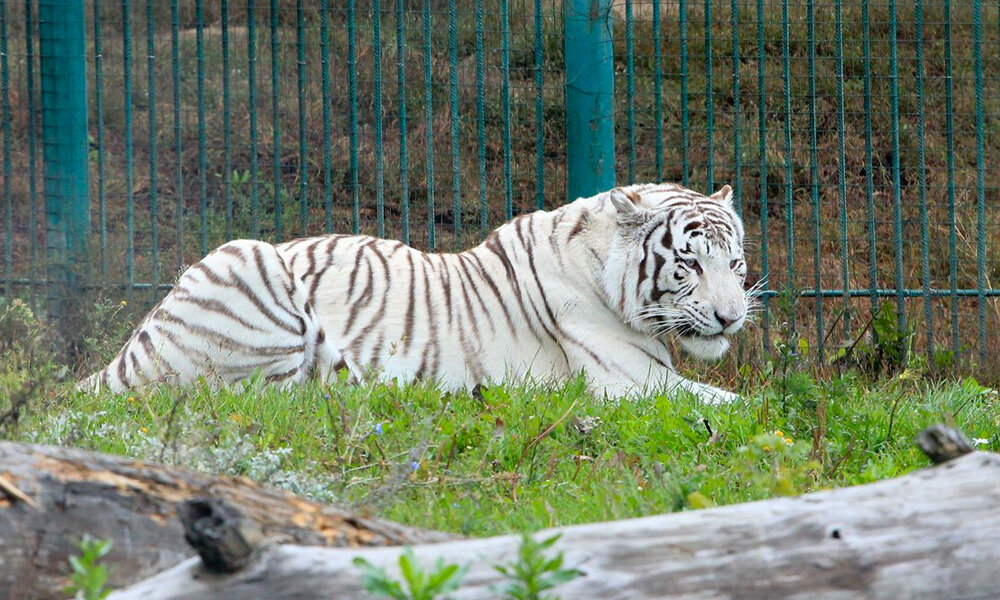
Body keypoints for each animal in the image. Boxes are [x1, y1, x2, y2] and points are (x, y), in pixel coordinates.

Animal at [80, 183, 752, 404]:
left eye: (736, 263)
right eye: (688, 264)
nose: (730, 317)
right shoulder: (630, 383)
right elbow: (745, 406)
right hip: (249, 262)